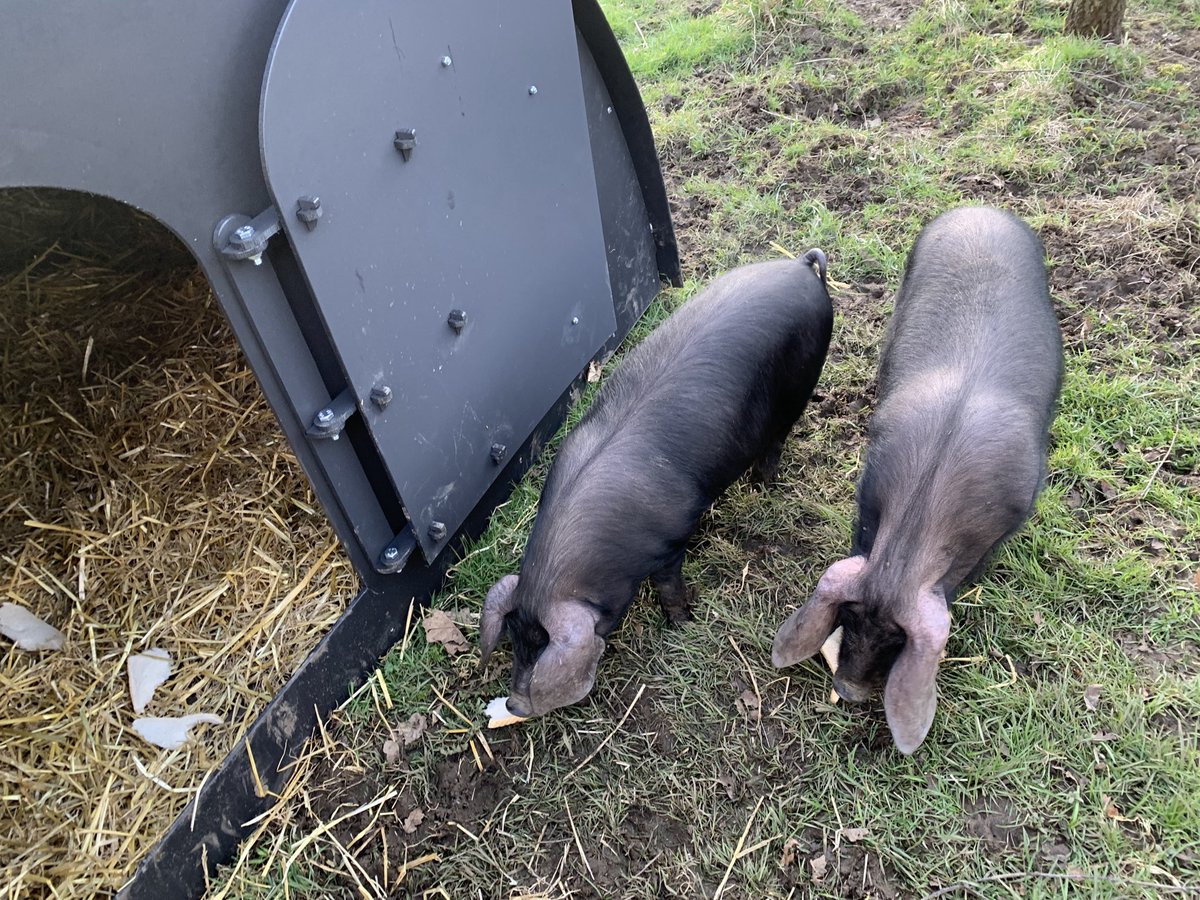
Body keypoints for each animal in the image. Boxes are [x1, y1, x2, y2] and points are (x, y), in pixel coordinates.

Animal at [481, 251, 834, 718]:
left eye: (542, 645)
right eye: (515, 639)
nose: (517, 705)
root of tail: (800, 267)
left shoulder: (672, 540)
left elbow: (669, 586)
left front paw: (683, 621)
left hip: (804, 380)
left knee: (778, 437)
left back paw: (763, 483)